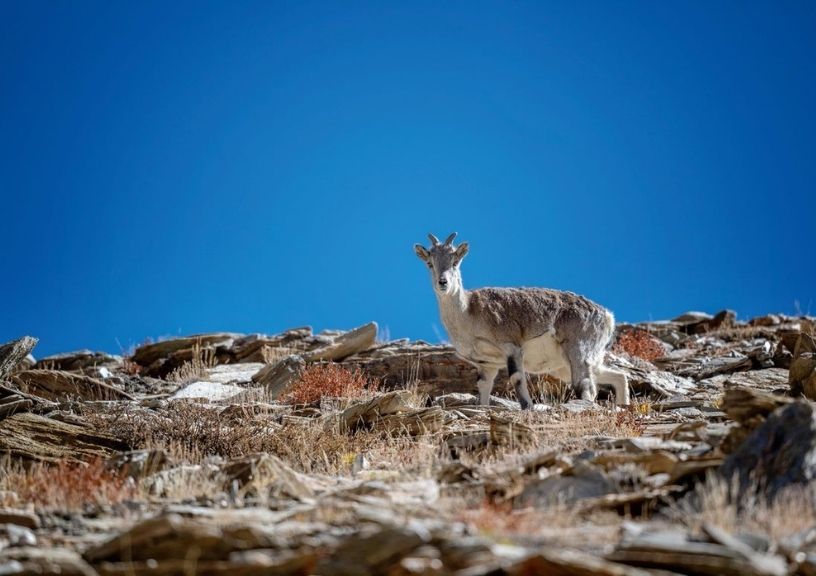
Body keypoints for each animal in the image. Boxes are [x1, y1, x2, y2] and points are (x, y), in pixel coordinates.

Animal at [414, 234, 632, 410]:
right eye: (430, 263)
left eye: (455, 261)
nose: (443, 282)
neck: (468, 313)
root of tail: (607, 316)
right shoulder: (486, 364)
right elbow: (483, 387)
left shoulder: (511, 348)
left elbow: (516, 378)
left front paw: (527, 407)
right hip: (569, 365)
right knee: (618, 376)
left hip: (578, 351)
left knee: (586, 386)